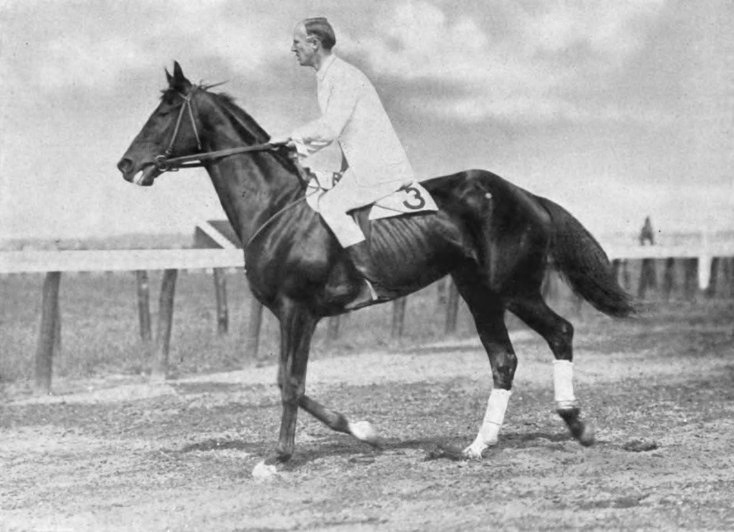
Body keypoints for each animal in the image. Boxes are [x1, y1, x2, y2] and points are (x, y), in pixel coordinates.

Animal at [118, 63, 636, 474]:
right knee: (503, 359)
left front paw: (279, 457)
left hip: (513, 287)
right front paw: (365, 430)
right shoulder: (294, 315)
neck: (278, 206)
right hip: (478, 292)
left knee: (560, 332)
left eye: (164, 112)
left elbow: (290, 384)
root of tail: (526, 195)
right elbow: (293, 384)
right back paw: (478, 445)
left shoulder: (296, 311)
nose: (126, 164)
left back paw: (576, 423)